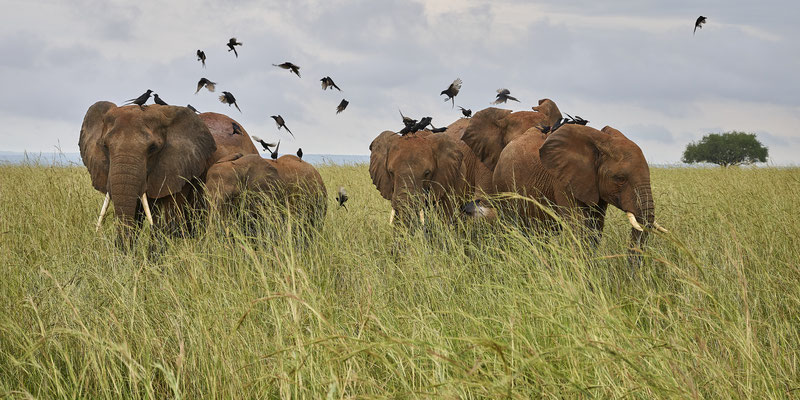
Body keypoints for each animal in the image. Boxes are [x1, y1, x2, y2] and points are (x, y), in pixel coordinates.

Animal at [461, 100, 668, 265]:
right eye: (620, 179)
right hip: (504, 186)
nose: (631, 273)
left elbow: (595, 229)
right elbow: (577, 226)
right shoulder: (562, 180)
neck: (600, 142)